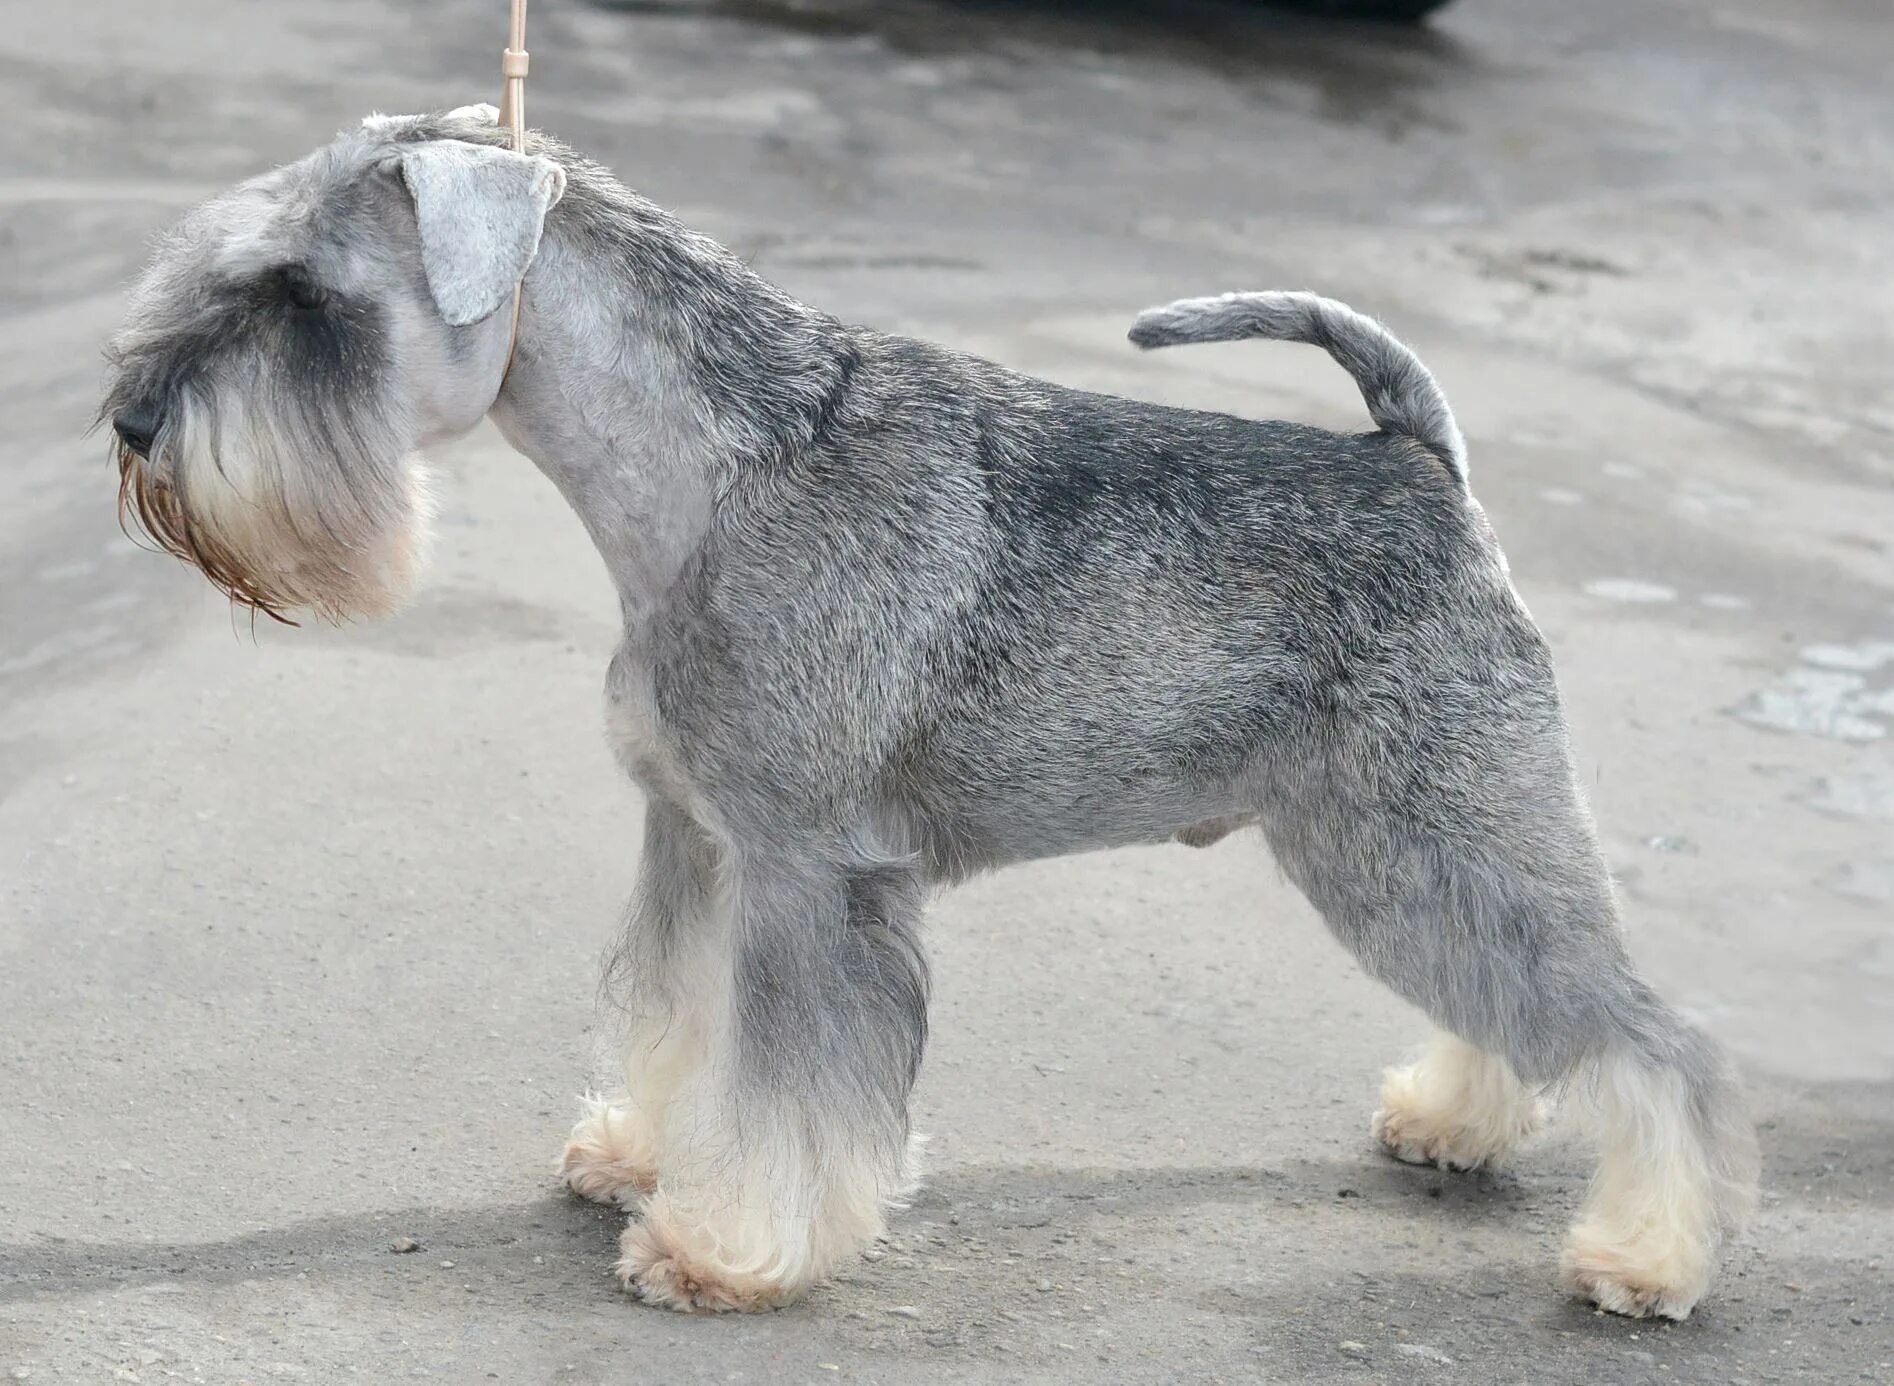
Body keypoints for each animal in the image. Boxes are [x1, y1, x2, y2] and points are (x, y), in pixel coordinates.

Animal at [107, 108, 1757, 1317]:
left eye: (304, 299)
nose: (129, 421)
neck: (717, 472)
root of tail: (1420, 465)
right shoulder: (695, 841)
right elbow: (678, 1017)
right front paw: (641, 1152)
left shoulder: (810, 875)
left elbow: (792, 1085)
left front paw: (722, 1246)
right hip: (1393, 853)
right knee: (1527, 1015)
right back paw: (1455, 1120)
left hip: (1437, 836)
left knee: (1656, 1038)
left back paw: (1643, 1256)